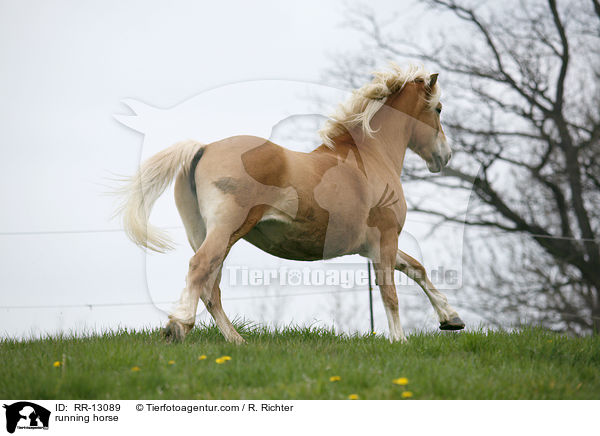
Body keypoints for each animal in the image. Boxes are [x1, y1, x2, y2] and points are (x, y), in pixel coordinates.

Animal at [116, 64, 464, 344]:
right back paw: (179, 326)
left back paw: (237, 341)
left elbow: (416, 268)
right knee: (200, 270)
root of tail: (202, 149)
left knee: (209, 287)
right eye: (439, 109)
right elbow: (390, 290)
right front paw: (399, 340)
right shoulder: (386, 237)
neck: (370, 155)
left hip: (206, 233)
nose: (445, 156)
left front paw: (451, 319)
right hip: (226, 230)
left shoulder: (371, 246)